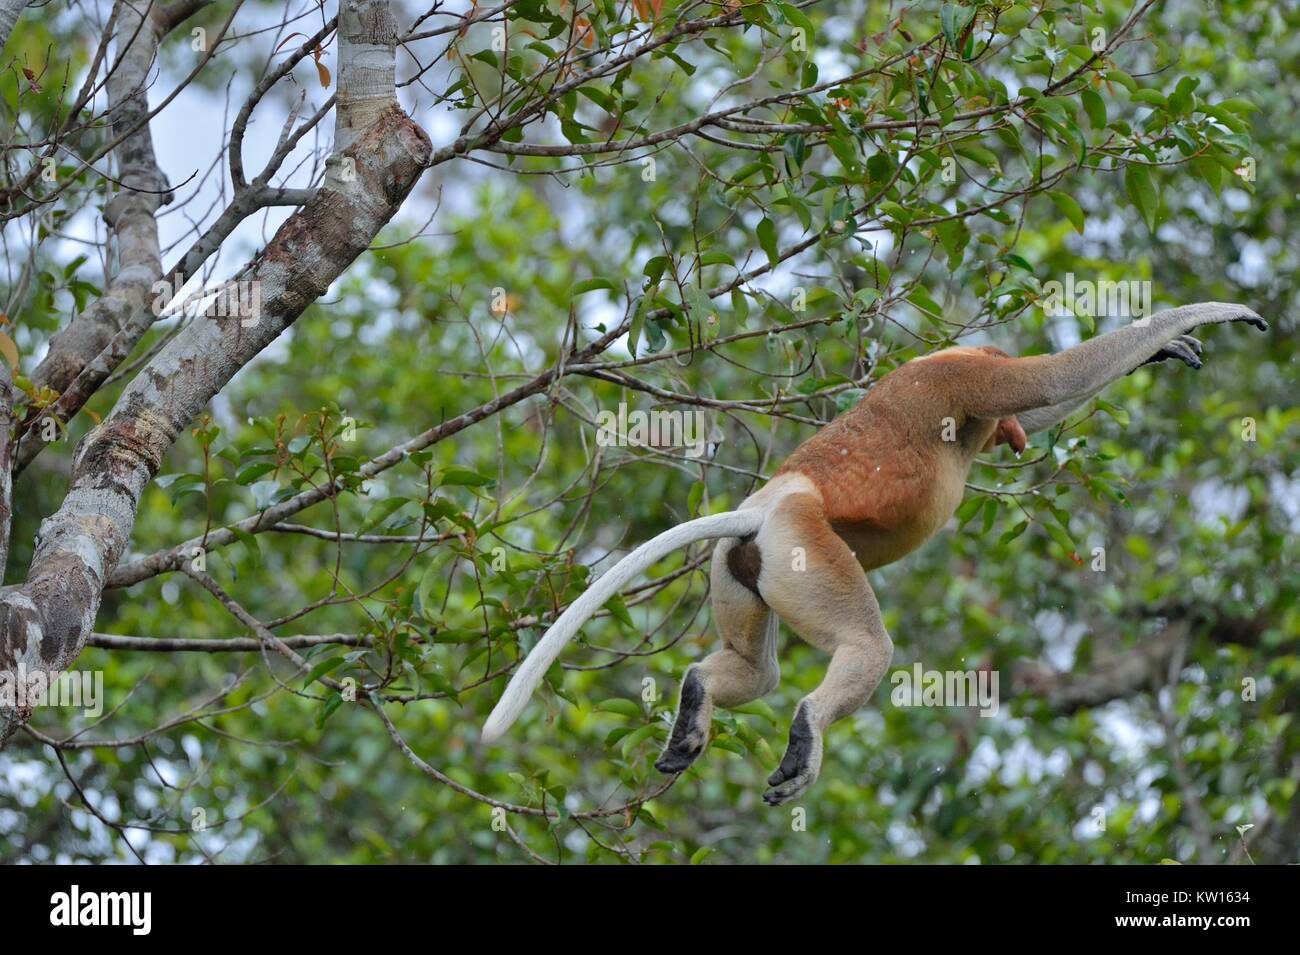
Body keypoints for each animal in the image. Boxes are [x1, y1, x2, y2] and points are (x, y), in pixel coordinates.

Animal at [481, 302, 1267, 805]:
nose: (1010, 436)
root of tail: (766, 505)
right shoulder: (962, 382)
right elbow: (1049, 381)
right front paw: (1203, 319)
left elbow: (1051, 396)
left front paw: (1165, 347)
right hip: (805, 546)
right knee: (861, 645)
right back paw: (806, 734)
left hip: (738, 567)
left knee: (754, 670)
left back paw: (697, 706)